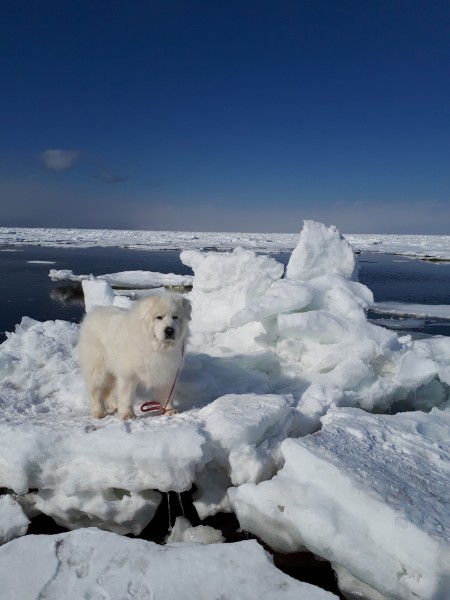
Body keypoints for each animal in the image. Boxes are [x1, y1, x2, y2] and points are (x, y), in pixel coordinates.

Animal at [78, 292, 191, 420]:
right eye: (159, 317)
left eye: (175, 317)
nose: (169, 330)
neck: (155, 345)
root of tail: (93, 313)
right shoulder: (128, 374)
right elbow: (126, 396)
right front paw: (127, 414)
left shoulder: (166, 372)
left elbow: (167, 394)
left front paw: (169, 410)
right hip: (98, 369)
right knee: (95, 391)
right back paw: (99, 412)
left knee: (109, 391)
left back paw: (115, 406)